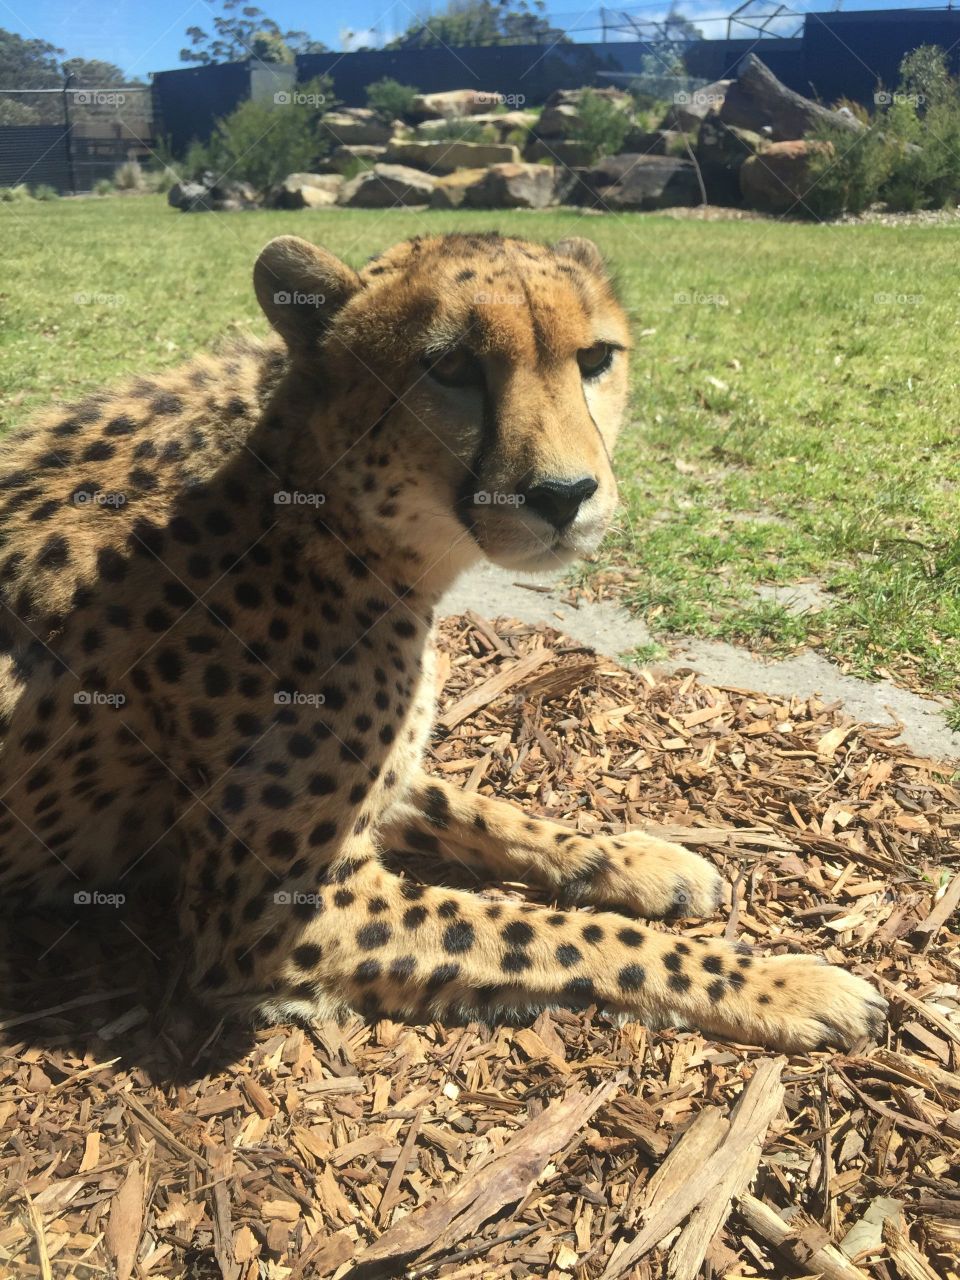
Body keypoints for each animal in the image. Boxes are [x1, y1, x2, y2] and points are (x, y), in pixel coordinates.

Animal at [0, 231, 887, 1052]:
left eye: (595, 358)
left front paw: (640, 861)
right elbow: (561, 935)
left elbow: (482, 809)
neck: (319, 506)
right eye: (454, 367)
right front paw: (781, 984)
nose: (565, 495)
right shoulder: (275, 914)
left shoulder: (377, 791)